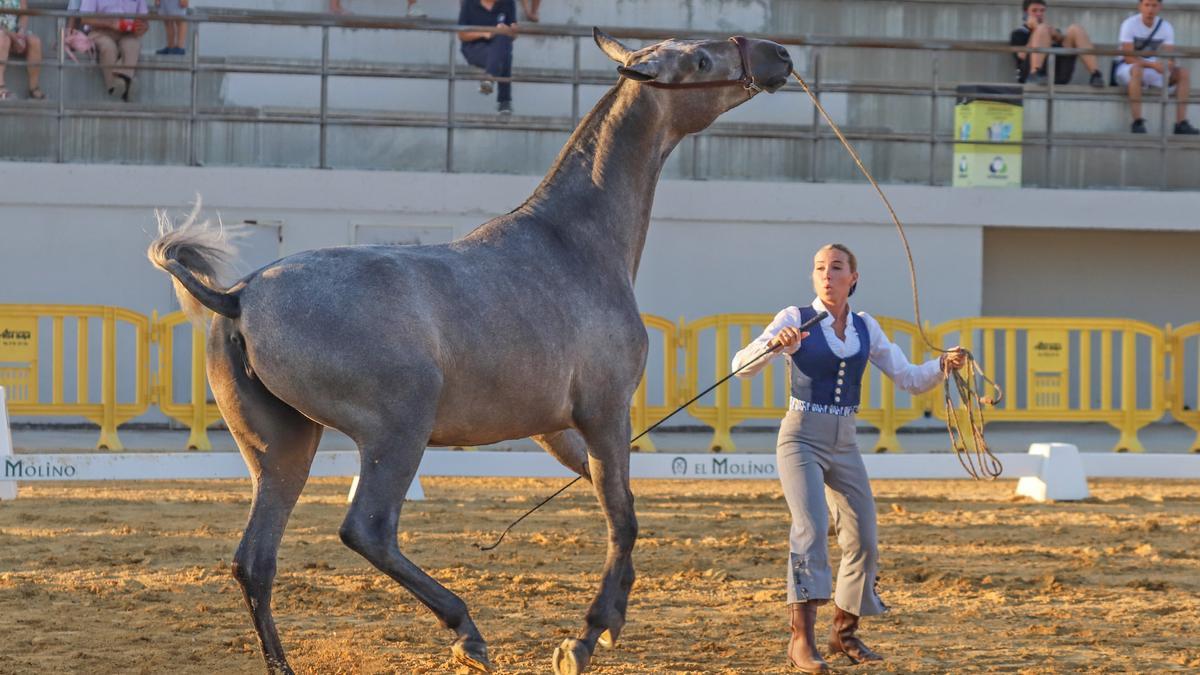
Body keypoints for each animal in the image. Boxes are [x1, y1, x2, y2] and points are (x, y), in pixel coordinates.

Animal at [150, 27, 796, 672]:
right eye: (701, 61)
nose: (779, 56)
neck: (575, 244)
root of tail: (239, 296)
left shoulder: (555, 429)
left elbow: (622, 507)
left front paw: (605, 623)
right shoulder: (605, 412)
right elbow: (621, 516)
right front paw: (588, 637)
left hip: (281, 449)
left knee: (255, 560)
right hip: (397, 432)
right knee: (367, 529)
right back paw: (466, 629)